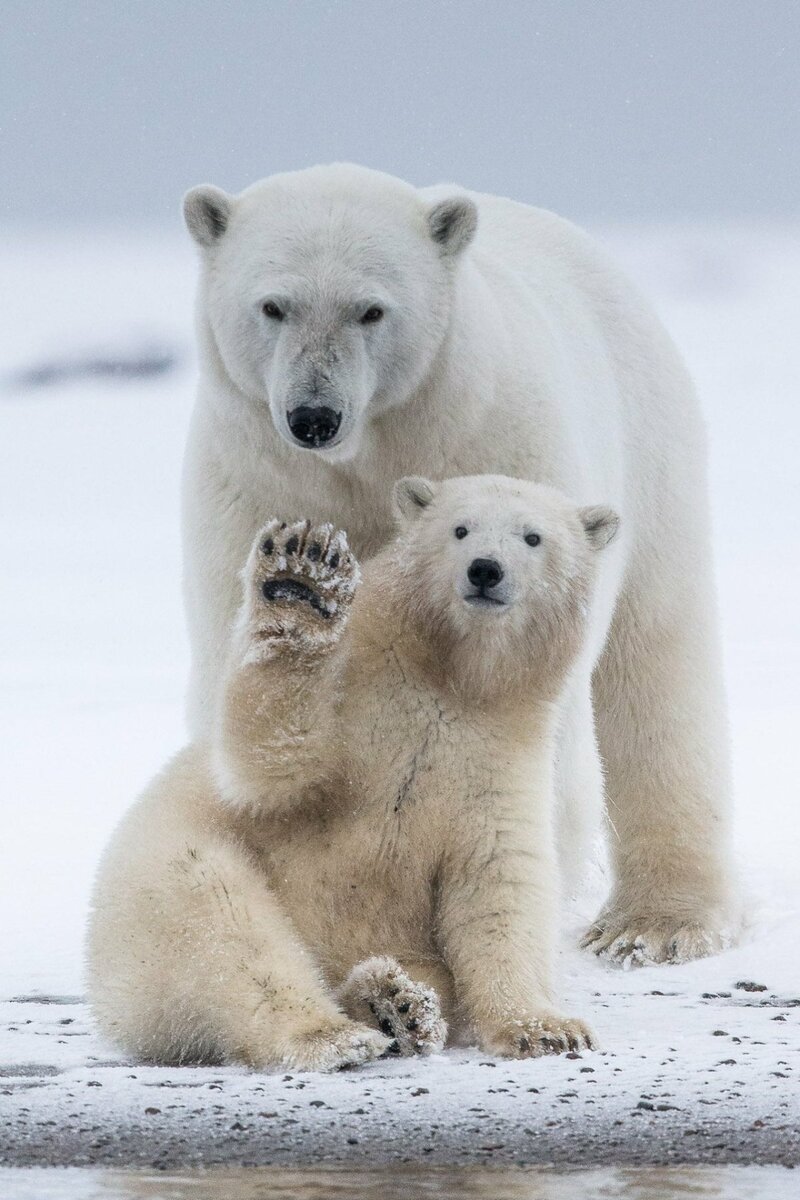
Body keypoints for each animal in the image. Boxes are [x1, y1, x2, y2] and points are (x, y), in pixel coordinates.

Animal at [184, 164, 734, 964]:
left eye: (371, 310)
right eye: (273, 305)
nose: (314, 417)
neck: (373, 453)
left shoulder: (501, 447)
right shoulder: (256, 480)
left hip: (653, 455)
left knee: (656, 669)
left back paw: (656, 922)